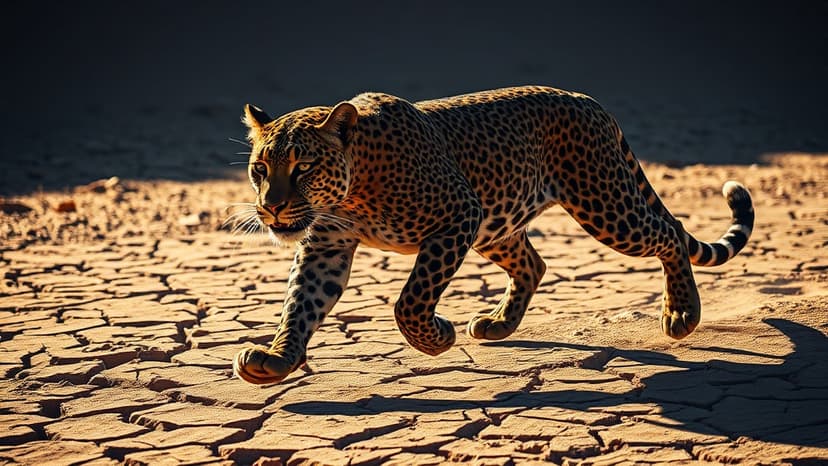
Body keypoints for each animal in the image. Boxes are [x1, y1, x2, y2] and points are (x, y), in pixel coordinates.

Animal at [232, 86, 754, 385]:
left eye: (302, 167)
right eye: (260, 169)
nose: (270, 207)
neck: (353, 190)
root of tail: (589, 100)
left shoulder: (457, 214)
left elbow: (411, 300)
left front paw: (435, 339)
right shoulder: (326, 244)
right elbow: (301, 303)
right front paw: (277, 359)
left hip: (604, 206)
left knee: (671, 232)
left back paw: (682, 313)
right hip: (499, 223)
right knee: (534, 264)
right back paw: (498, 323)